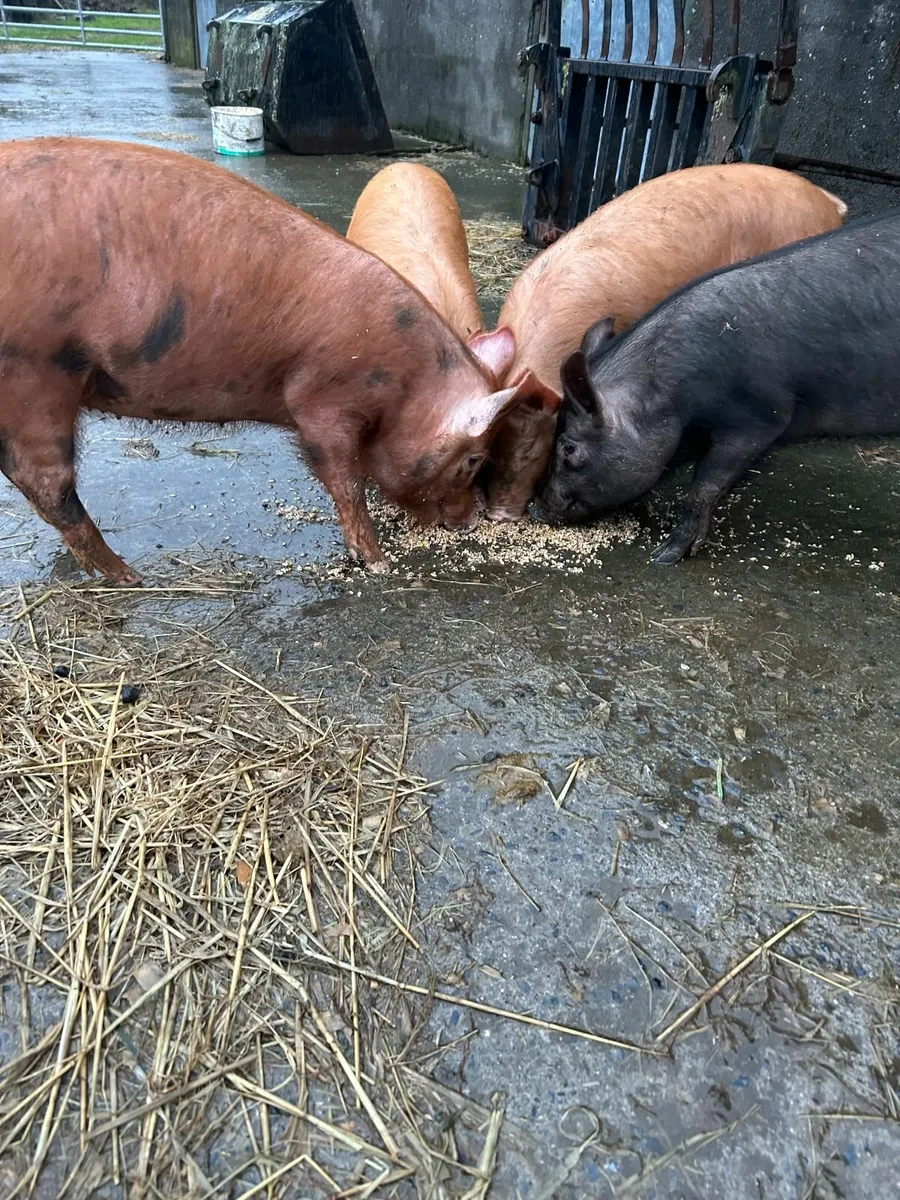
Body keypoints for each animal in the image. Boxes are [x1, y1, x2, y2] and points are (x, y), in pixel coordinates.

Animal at [534, 210, 900, 563]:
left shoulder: (761, 416)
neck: (673, 399)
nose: (537, 509)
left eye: (568, 449)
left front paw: (666, 555)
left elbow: (706, 482)